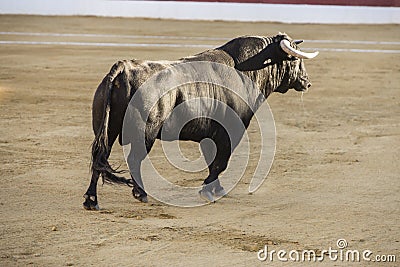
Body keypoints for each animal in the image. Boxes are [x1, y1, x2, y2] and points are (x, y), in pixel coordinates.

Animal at [83, 32, 318, 210]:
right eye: (296, 60)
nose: (307, 82)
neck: (246, 73)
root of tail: (124, 68)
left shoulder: (211, 136)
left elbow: (212, 161)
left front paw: (216, 189)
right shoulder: (229, 133)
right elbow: (220, 163)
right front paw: (208, 190)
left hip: (108, 129)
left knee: (100, 156)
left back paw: (91, 200)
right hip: (146, 132)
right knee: (133, 159)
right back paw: (140, 194)